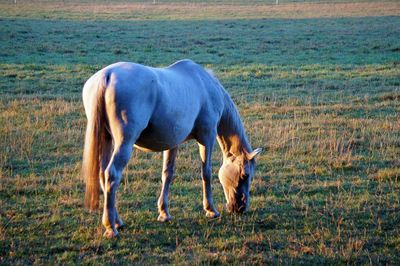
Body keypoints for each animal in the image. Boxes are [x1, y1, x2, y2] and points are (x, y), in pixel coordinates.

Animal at [81, 59, 262, 238]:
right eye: (245, 175)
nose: (240, 207)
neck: (206, 86)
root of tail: (107, 75)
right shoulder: (207, 137)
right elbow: (206, 173)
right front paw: (211, 210)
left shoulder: (173, 143)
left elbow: (167, 174)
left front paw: (164, 213)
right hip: (124, 142)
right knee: (112, 175)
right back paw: (111, 227)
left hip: (106, 139)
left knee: (103, 174)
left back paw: (117, 221)